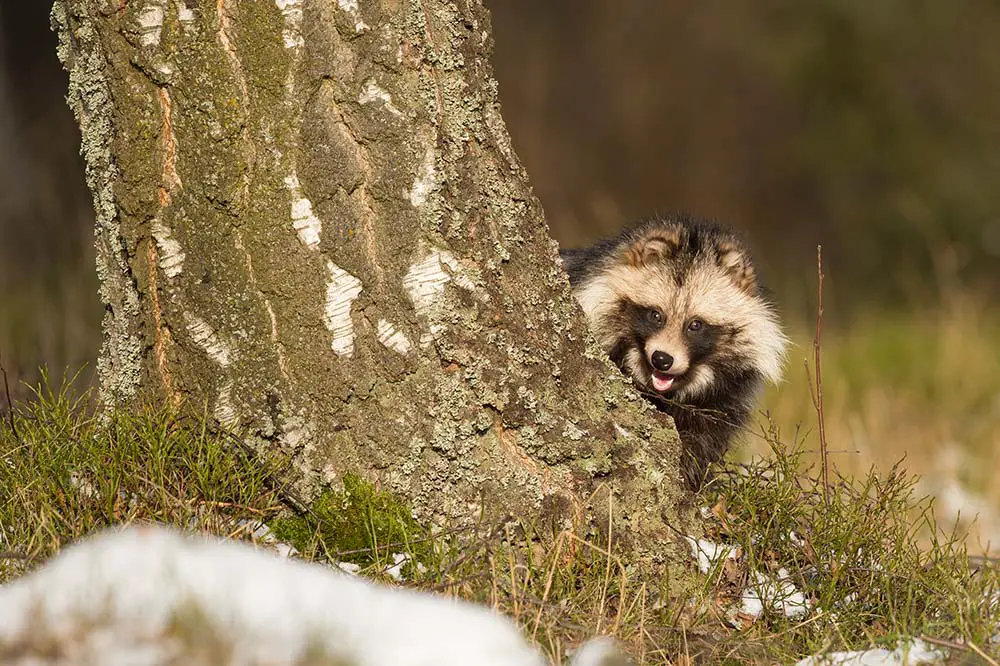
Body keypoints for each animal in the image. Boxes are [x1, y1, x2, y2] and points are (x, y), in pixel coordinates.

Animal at [560, 214, 784, 488]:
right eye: (656, 315)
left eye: (695, 325)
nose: (662, 359)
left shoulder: (724, 402)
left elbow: (703, 440)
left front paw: (693, 476)